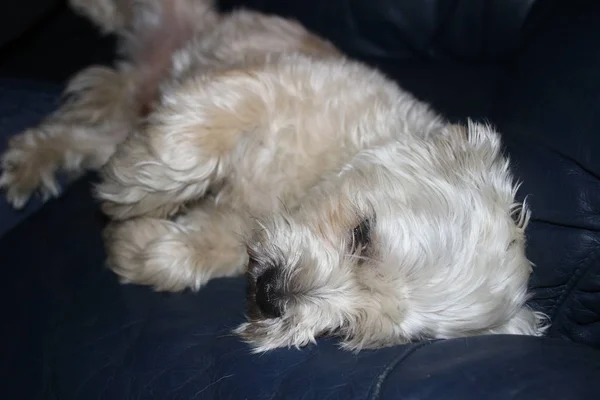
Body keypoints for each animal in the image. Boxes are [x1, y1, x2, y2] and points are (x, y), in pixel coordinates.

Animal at [0, 0, 548, 352]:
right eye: (363, 235)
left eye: (347, 329)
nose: (272, 296)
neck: (295, 190)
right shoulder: (265, 86)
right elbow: (186, 144)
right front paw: (132, 187)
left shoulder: (233, 227)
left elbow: (189, 249)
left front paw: (137, 245)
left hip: (111, 120)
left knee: (75, 135)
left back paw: (28, 166)